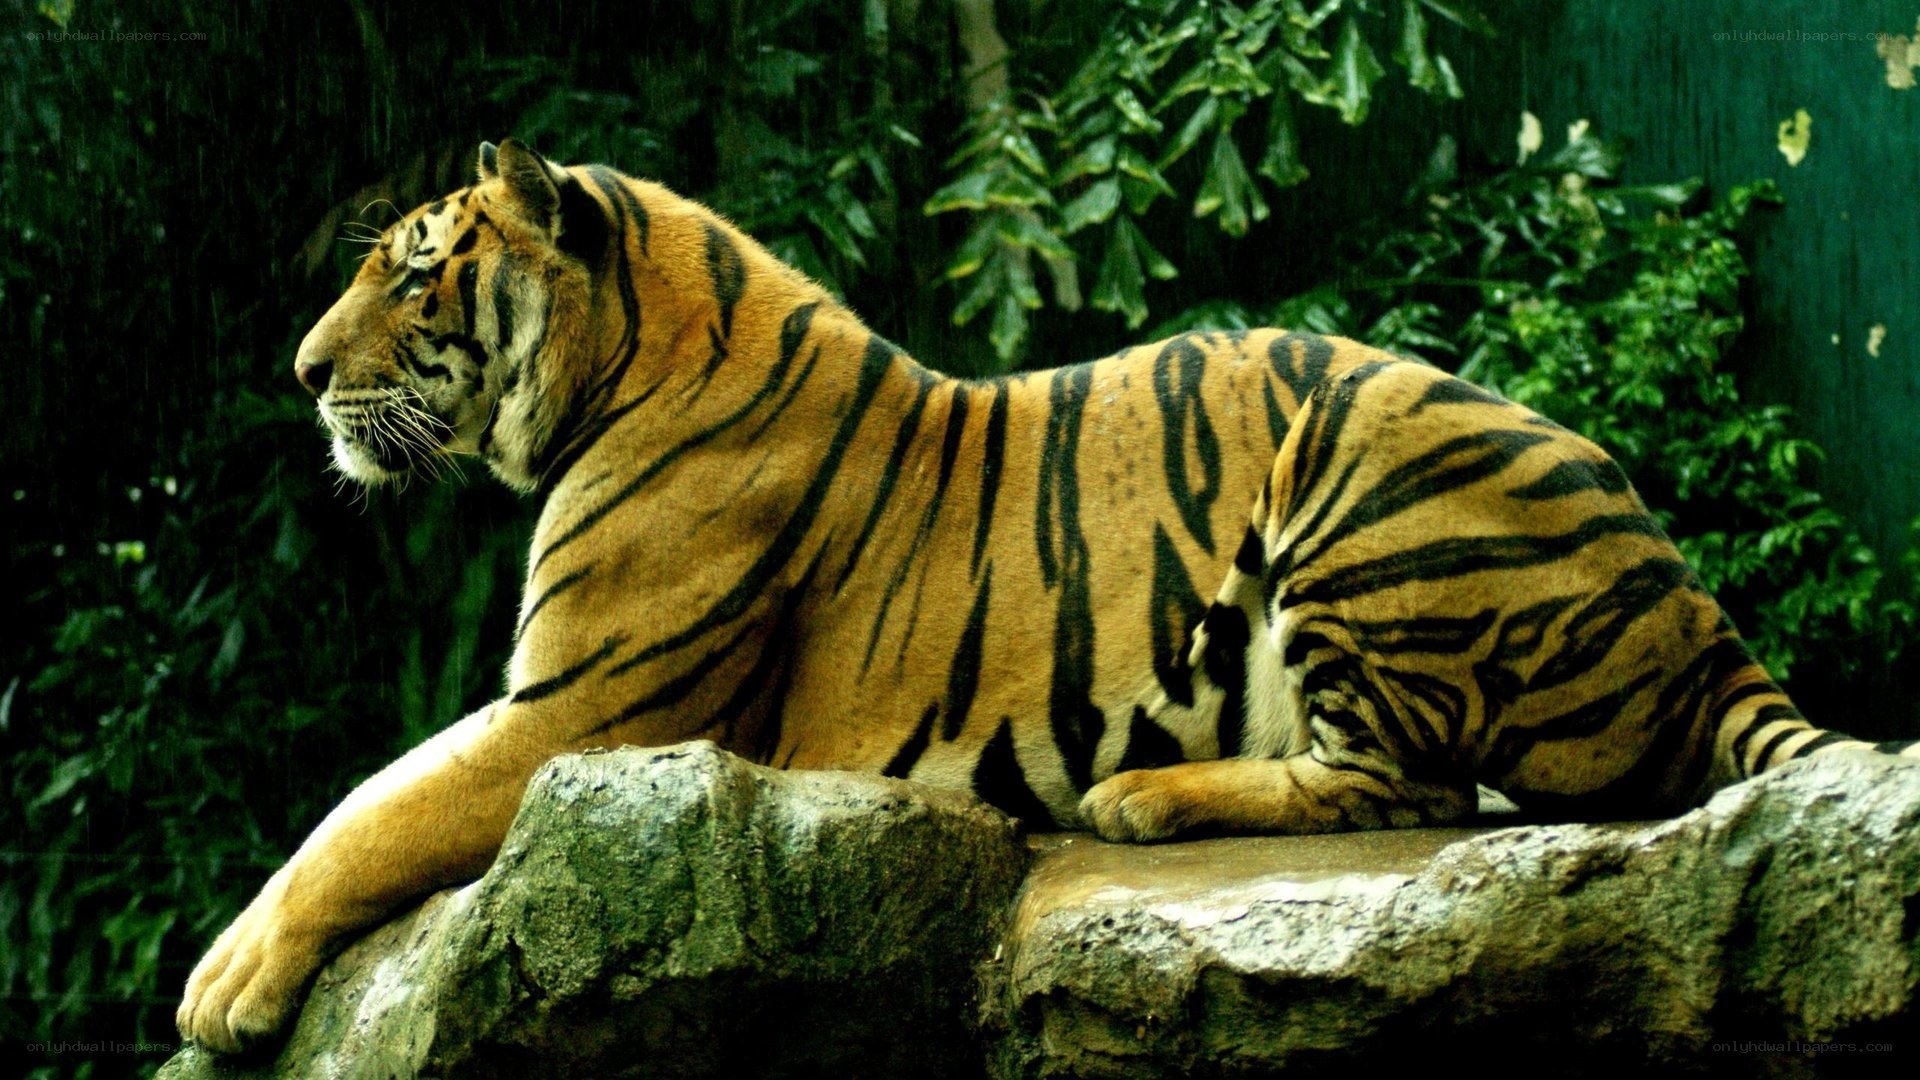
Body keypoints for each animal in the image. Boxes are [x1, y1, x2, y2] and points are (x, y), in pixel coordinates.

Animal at [177, 138, 1919, 1053]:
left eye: (416, 271)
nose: (301, 374)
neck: (624, 365)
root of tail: (1692, 603)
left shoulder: (584, 713)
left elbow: (368, 817)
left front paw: (223, 986)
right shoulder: (561, 706)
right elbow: (366, 799)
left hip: (1361, 454)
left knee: (1413, 785)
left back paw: (1140, 800)